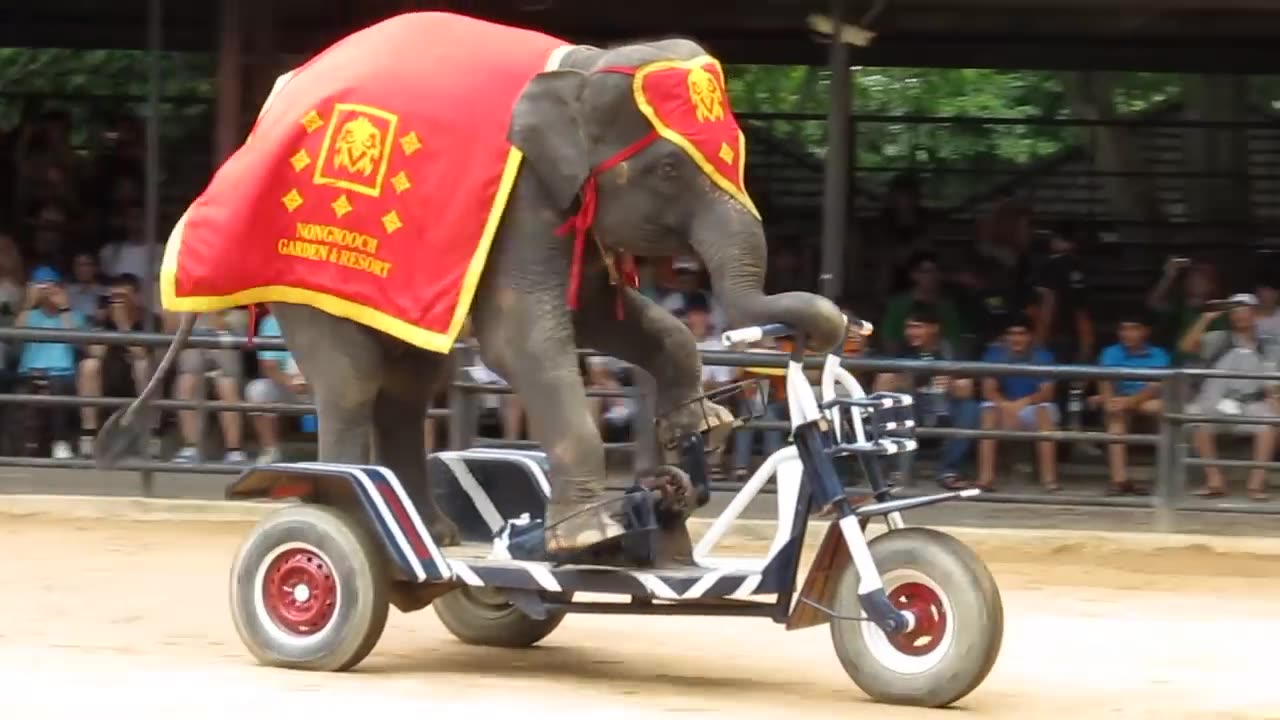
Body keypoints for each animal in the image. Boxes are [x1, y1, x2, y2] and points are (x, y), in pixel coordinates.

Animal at [97, 26, 848, 560]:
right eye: (668, 168)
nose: (841, 325)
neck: (585, 65)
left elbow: (604, 316)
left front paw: (701, 427)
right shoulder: (525, 201)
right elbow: (524, 338)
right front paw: (590, 533)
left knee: (406, 385)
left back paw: (432, 534)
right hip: (300, 267)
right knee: (353, 380)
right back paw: (347, 511)